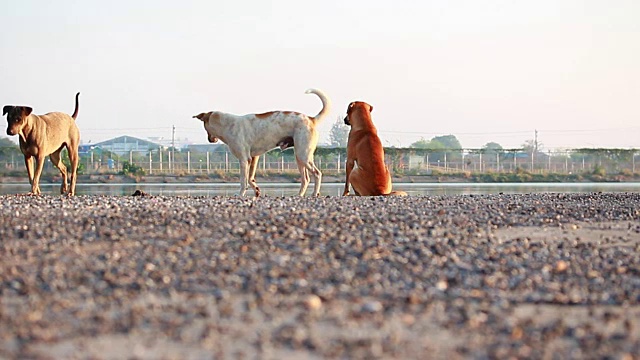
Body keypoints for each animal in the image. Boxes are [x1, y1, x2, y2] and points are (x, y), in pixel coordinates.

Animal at [194, 89, 330, 197]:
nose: (210, 140)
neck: (227, 124)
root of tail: (311, 119)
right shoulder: (253, 158)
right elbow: (250, 178)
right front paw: (256, 191)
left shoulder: (244, 159)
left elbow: (243, 180)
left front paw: (240, 194)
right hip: (300, 158)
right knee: (305, 179)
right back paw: (299, 195)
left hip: (303, 155)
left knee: (317, 174)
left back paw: (315, 194)